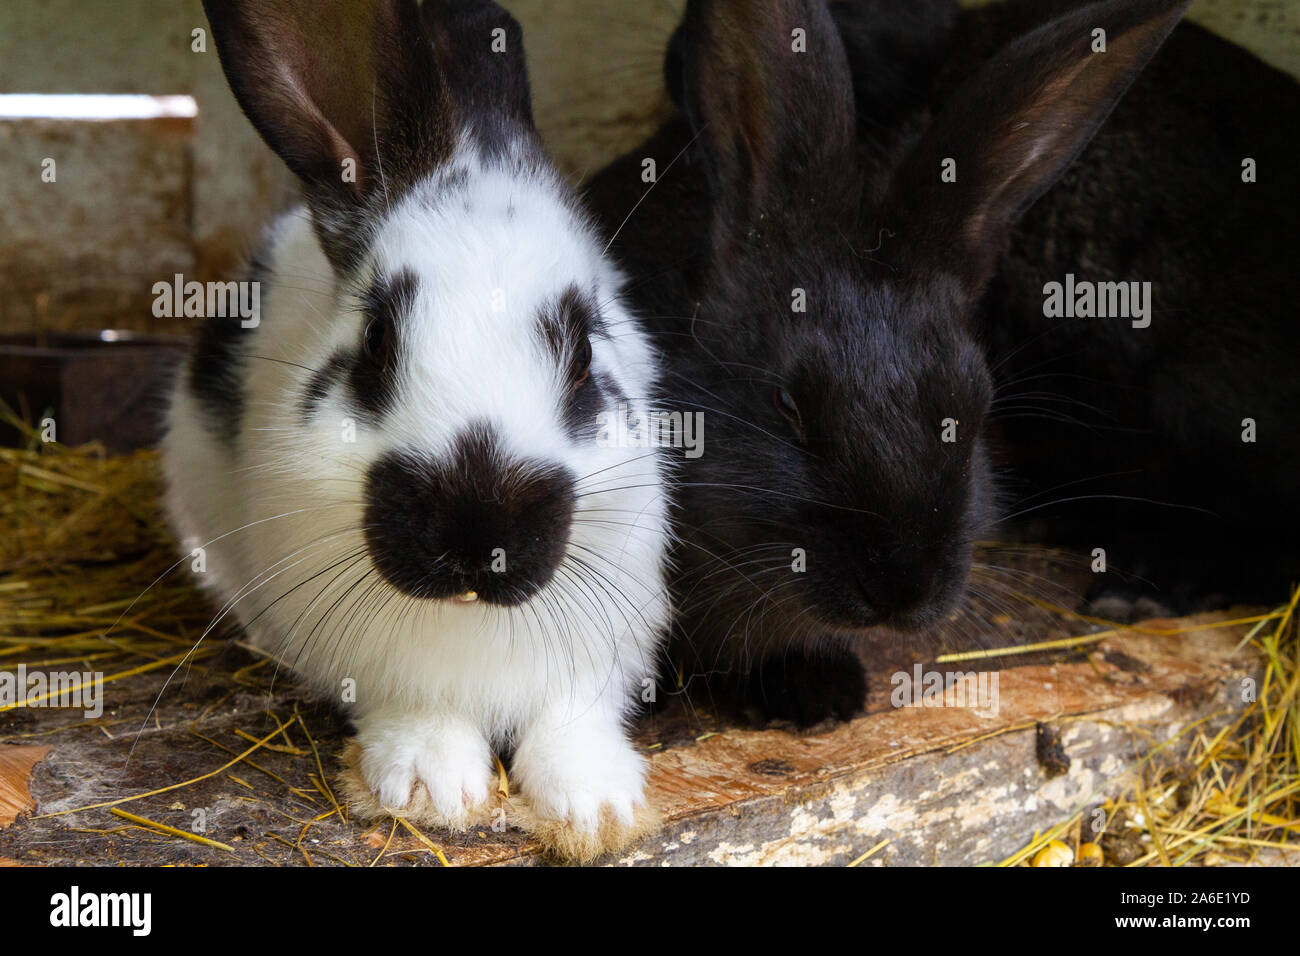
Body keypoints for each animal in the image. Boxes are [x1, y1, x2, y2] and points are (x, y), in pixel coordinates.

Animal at [162, 0, 671, 856]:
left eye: (581, 352)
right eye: (376, 342)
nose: (476, 533)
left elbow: (571, 720)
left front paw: (597, 807)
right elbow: (414, 710)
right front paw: (434, 788)